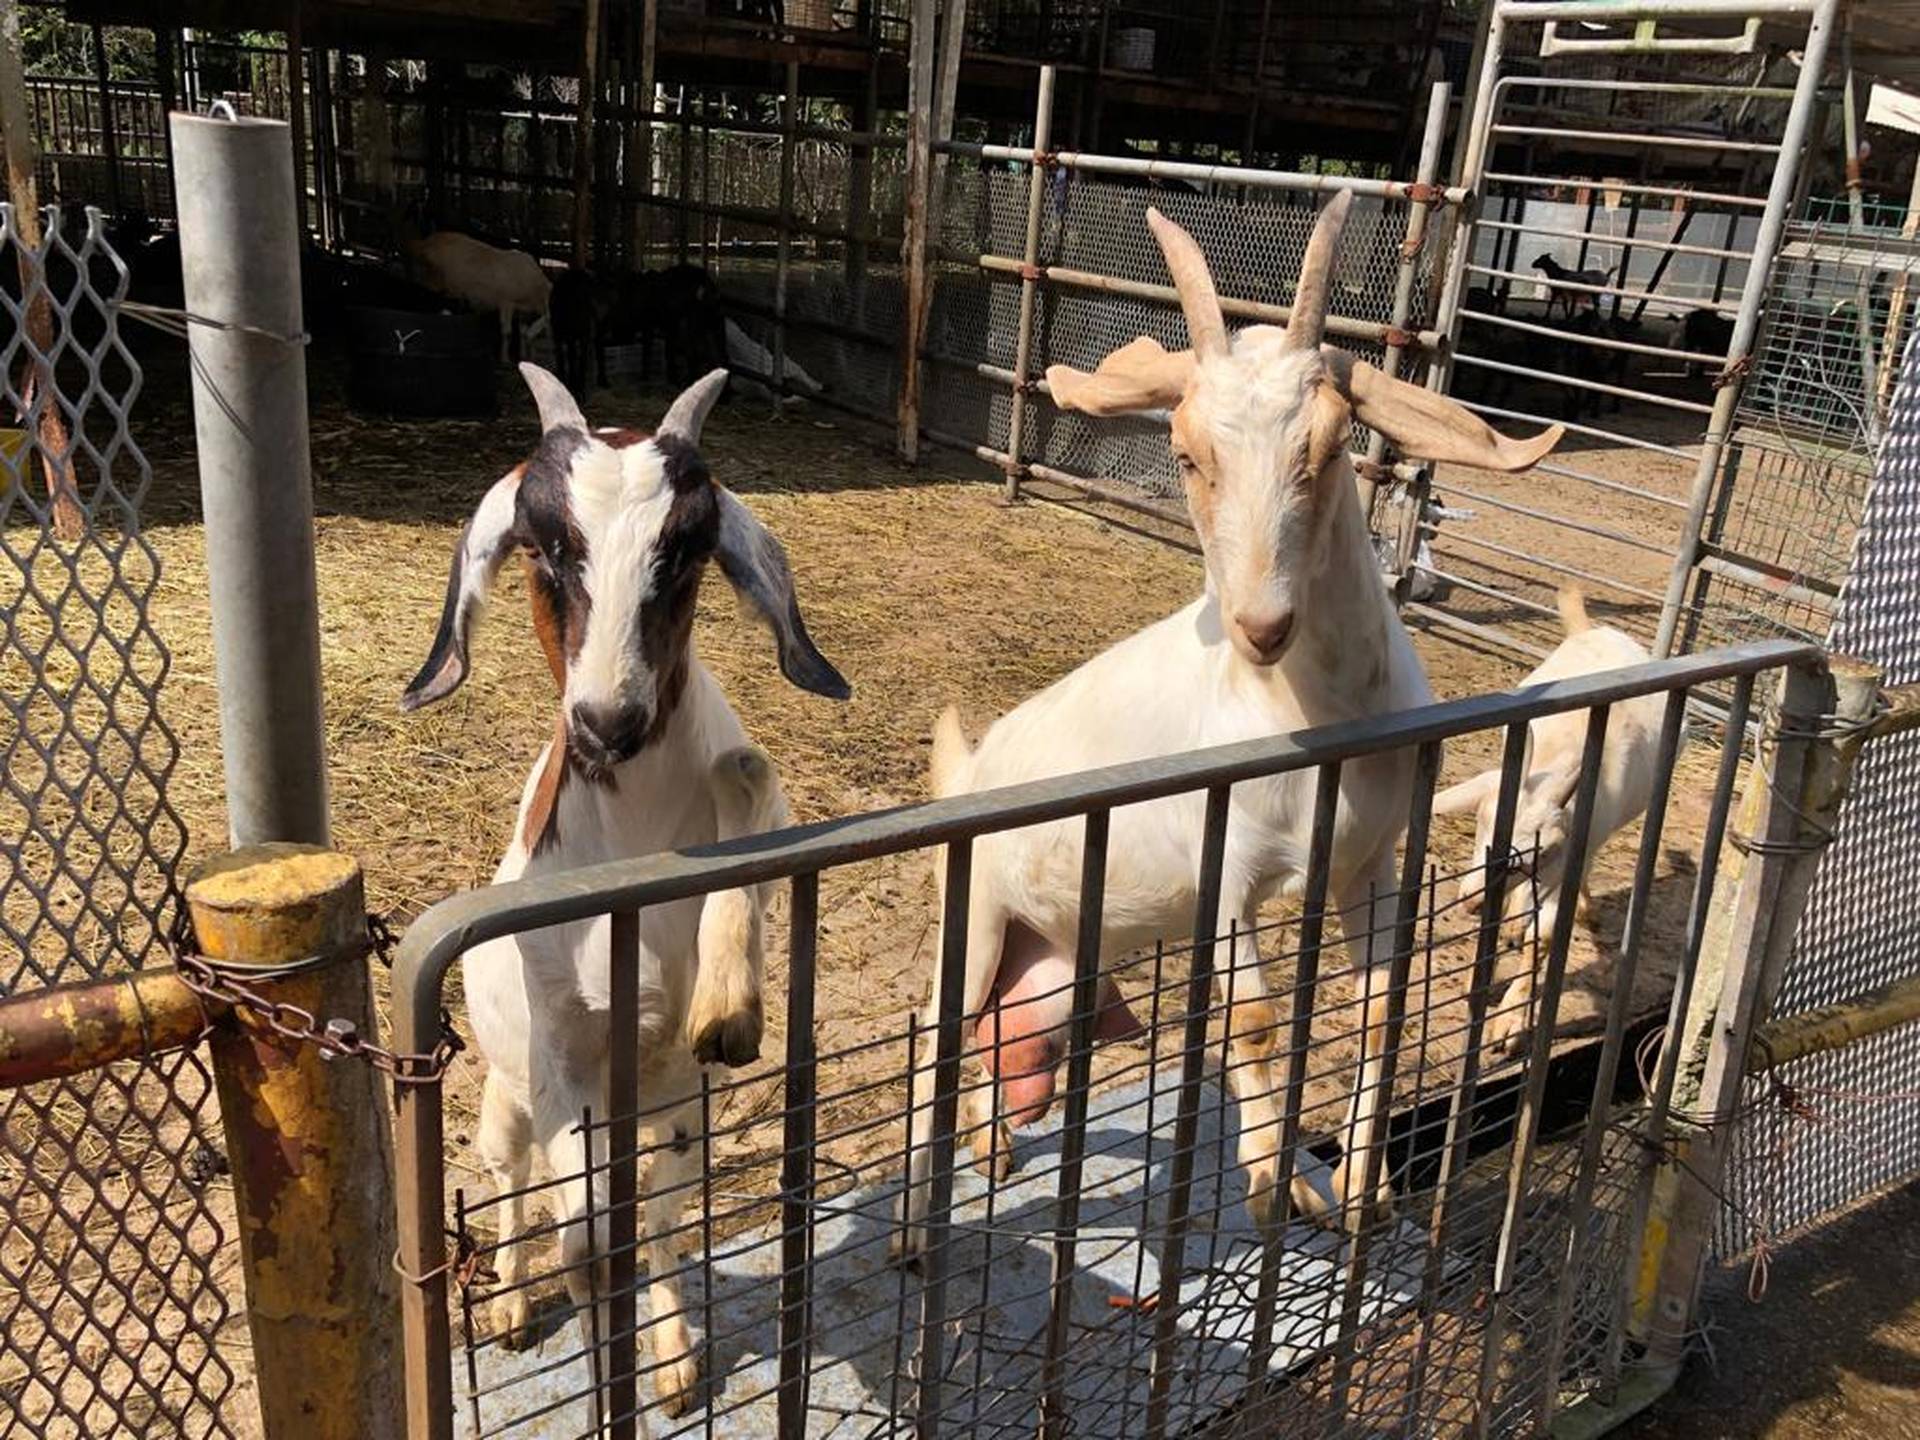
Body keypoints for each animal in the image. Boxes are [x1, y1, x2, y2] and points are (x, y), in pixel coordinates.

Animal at [401, 362, 852, 1420]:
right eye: (542, 544)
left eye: (685, 548)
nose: (608, 721)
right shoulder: (565, 1063)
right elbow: (585, 1233)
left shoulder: (687, 1088)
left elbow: (660, 1221)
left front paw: (676, 1362)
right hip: (501, 1103)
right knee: (515, 1189)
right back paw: (511, 1301)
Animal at [890, 197, 1566, 1259]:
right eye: (1183, 453)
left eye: (1331, 445)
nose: (1260, 623)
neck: (1309, 716)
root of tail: (970, 768)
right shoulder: (1228, 871)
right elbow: (1250, 1021)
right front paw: (1270, 1189)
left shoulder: (1373, 861)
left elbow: (1381, 1007)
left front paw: (1360, 1191)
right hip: (979, 915)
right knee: (935, 1033)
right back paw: (915, 1228)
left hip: (1068, 951)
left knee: (1011, 1035)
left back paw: (994, 1150)